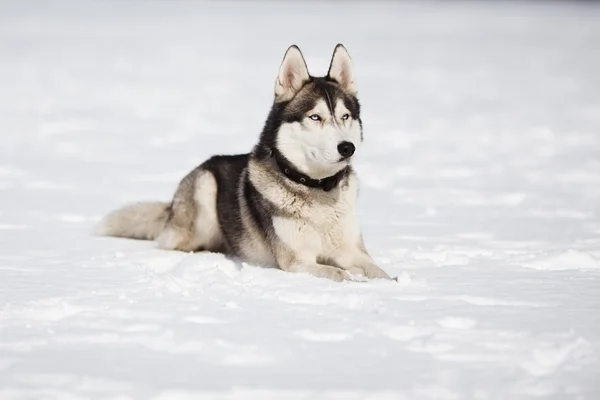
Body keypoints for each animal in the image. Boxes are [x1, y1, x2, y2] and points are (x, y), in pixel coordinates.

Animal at [95, 43, 394, 282]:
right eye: (315, 117)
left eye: (345, 116)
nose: (347, 147)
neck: (317, 189)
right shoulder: (297, 261)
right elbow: (339, 274)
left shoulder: (352, 251)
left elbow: (381, 272)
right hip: (204, 191)